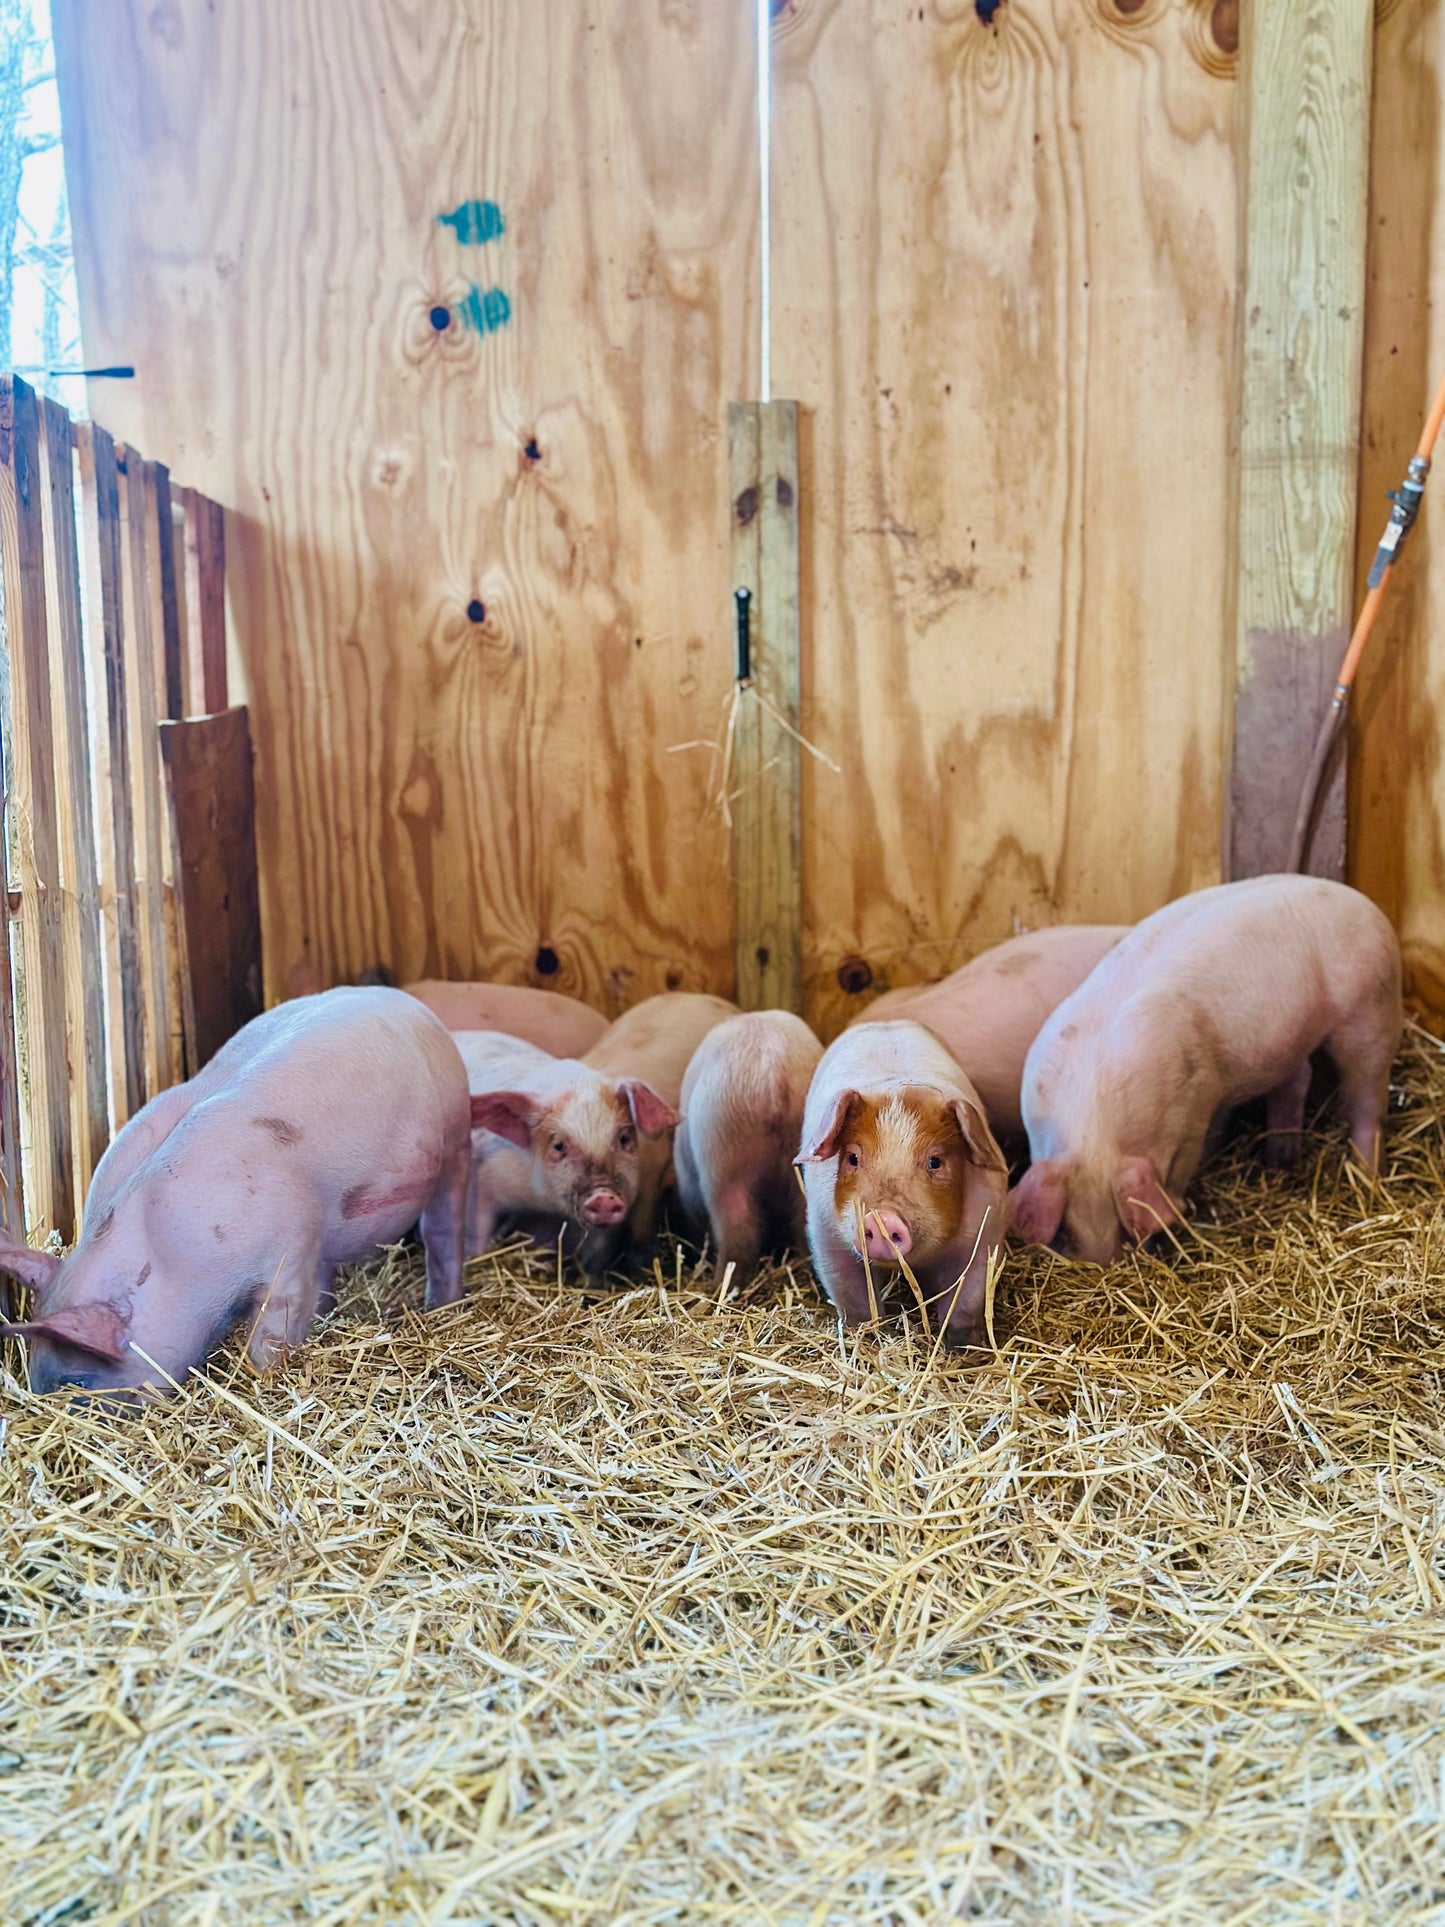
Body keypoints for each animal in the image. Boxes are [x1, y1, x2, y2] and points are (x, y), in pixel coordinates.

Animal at [0, 987, 472, 1399]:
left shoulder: (288, 1248)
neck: (167, 1252)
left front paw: (266, 1376)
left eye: (76, 1381)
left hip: (454, 1138)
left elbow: (276, 1323)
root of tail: (408, 1002)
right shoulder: (307, 1238)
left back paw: (440, 1305)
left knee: (445, 1232)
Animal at [798, 1020, 1008, 1349]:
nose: (881, 1218)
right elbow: (853, 1295)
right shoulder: (826, 1235)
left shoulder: (985, 1234)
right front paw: (865, 1336)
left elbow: (965, 1298)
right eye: (853, 1158)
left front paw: (961, 1348)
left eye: (935, 1161)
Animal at [1009, 874, 1403, 1266]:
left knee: (1368, 1101)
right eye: (1068, 1232)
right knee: (1297, 1080)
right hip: (1287, 1040)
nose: (1106, 1262)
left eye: (1123, 1226)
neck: (1091, 1120)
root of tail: (1366, 905)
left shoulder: (1190, 1115)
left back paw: (1368, 1177)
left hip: (1370, 1009)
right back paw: (1279, 1162)